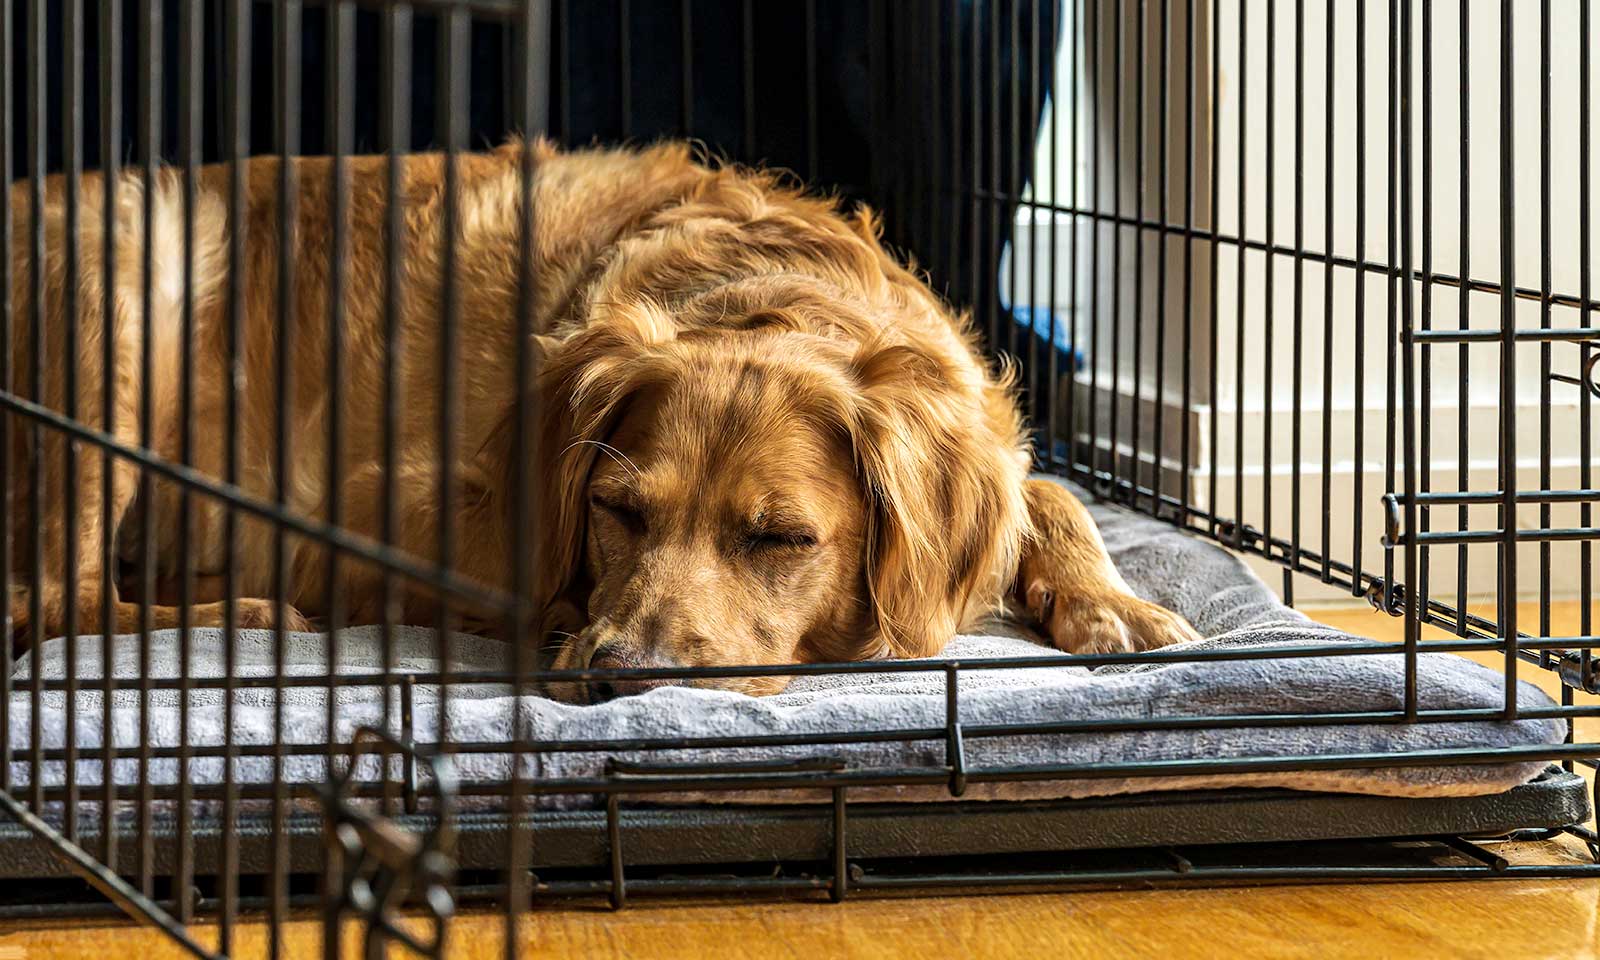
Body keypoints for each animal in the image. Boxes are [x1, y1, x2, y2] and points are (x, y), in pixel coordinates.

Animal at [6, 140, 1196, 697]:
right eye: (617, 511)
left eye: (781, 540)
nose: (620, 670)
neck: (761, 291)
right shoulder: (387, 504)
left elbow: (1045, 490)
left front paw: (1113, 602)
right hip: (128, 272)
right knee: (62, 602)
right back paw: (246, 616)